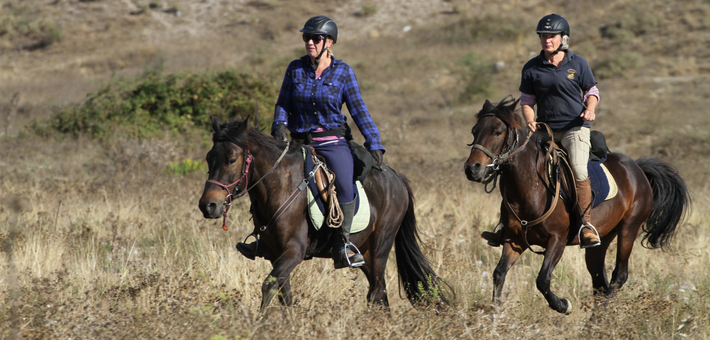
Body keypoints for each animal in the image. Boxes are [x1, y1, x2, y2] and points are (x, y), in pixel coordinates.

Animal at [197, 117, 450, 310]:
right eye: (208, 158)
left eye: (231, 159)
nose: (208, 205)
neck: (279, 185)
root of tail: (397, 177)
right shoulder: (275, 254)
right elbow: (284, 294)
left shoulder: (294, 251)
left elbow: (268, 285)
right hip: (366, 253)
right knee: (380, 295)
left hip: (380, 247)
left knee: (376, 291)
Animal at [464, 97, 692, 314]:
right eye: (474, 131)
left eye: (497, 132)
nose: (472, 168)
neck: (530, 187)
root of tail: (637, 168)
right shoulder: (513, 240)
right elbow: (499, 274)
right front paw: (495, 316)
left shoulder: (557, 240)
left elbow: (542, 280)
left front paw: (563, 305)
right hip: (602, 239)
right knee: (600, 284)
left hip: (629, 228)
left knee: (618, 278)